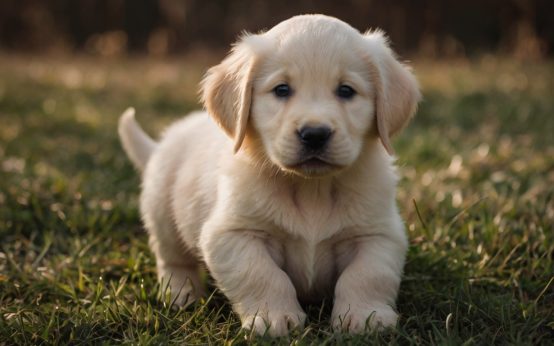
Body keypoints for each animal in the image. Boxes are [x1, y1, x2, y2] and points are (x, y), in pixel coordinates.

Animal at [117, 14, 418, 336]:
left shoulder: (378, 234)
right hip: (162, 214)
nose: (315, 134)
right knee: (172, 260)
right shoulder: (233, 233)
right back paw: (180, 293)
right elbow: (262, 274)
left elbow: (367, 275)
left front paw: (366, 316)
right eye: (282, 90)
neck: (312, 189)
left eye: (346, 91)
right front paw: (275, 317)